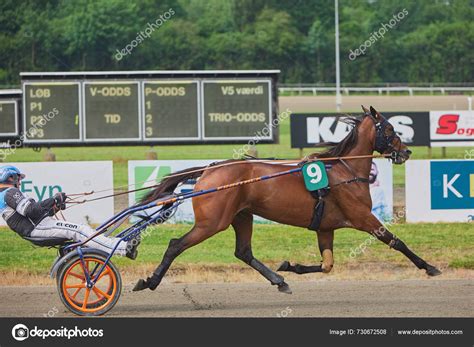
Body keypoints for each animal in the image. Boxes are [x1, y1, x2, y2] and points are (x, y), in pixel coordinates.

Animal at [132, 105, 440, 294]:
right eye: (389, 129)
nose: (406, 152)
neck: (345, 171)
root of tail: (210, 169)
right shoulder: (363, 218)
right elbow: (396, 241)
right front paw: (429, 267)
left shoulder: (325, 227)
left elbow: (327, 265)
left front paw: (290, 266)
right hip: (212, 222)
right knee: (176, 245)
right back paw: (150, 281)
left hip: (241, 216)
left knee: (244, 252)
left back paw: (279, 280)